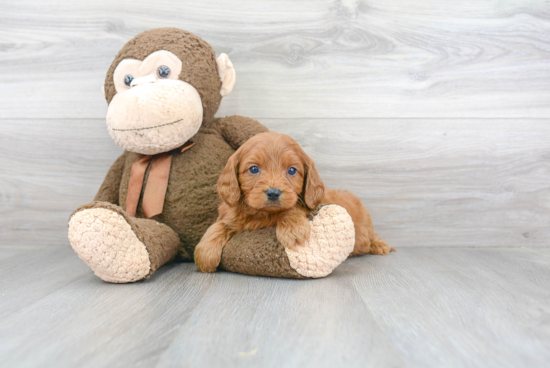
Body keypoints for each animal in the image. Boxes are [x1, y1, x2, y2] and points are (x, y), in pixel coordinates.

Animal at [195, 131, 396, 272]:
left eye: (292, 170)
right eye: (253, 169)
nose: (273, 193)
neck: (263, 214)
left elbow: (293, 208)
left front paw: (293, 229)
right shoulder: (231, 215)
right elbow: (218, 226)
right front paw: (205, 254)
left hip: (362, 235)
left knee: (370, 237)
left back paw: (380, 245)